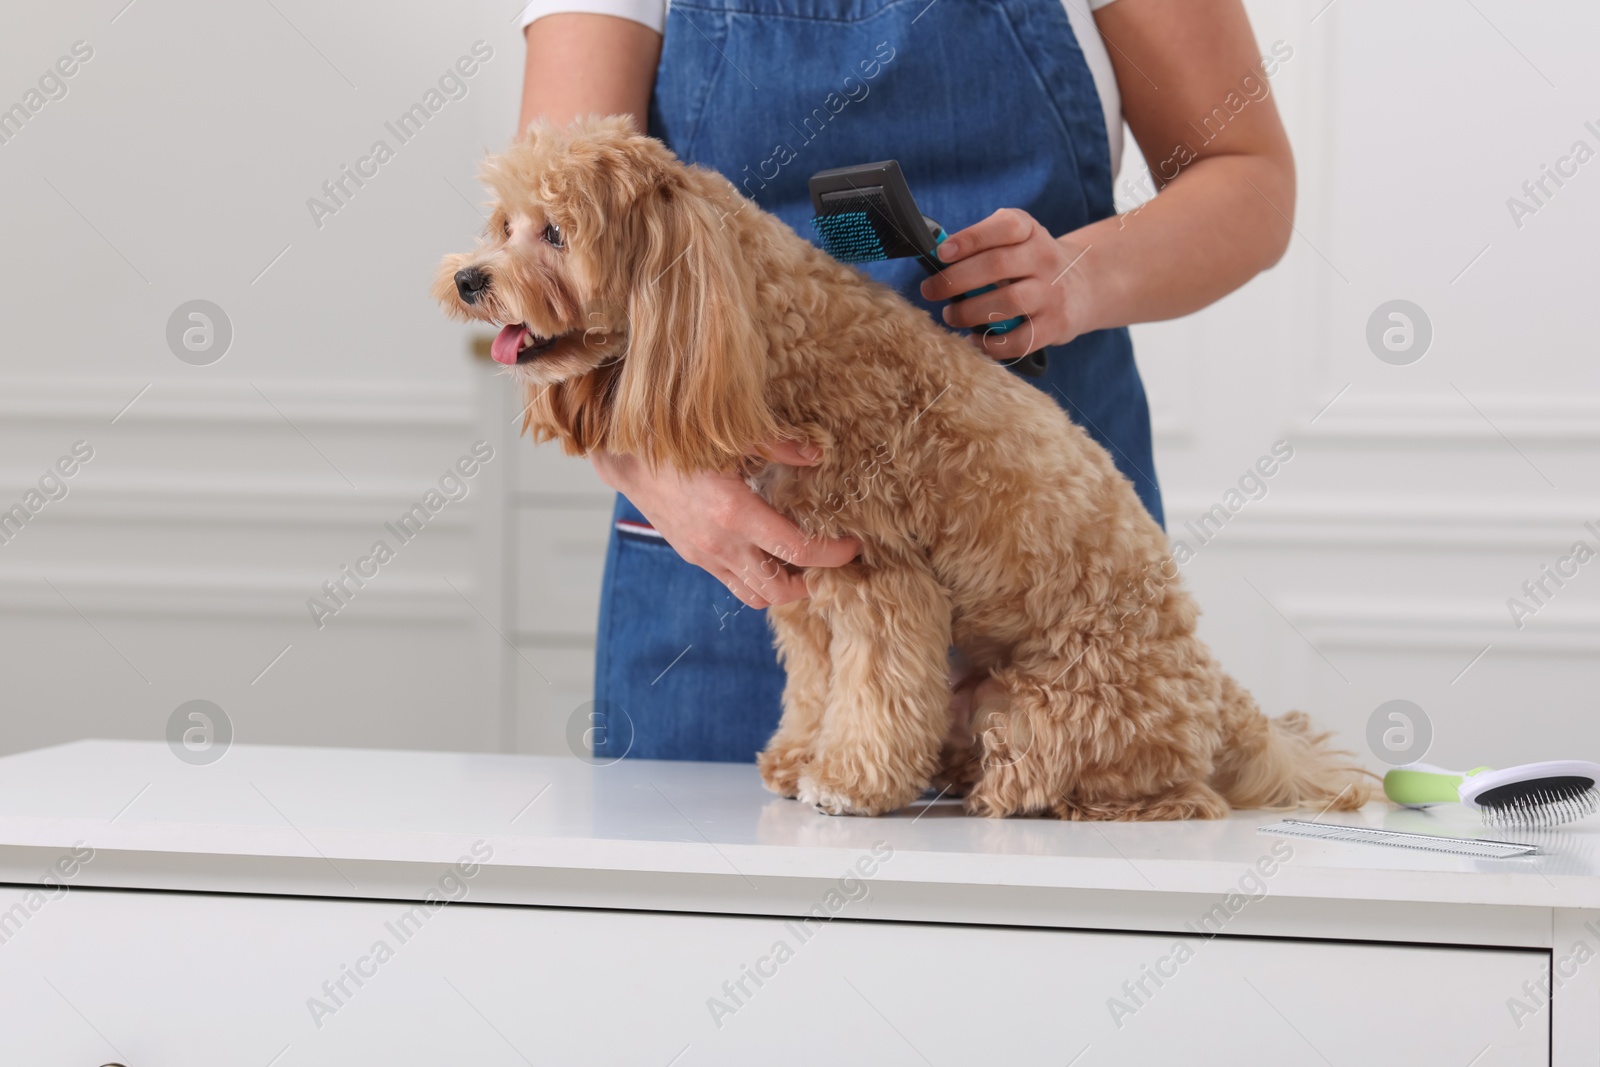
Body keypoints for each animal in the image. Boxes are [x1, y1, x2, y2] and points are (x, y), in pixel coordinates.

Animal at [438, 115, 1376, 819]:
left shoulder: (880, 577)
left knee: (1156, 788)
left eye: (555, 232)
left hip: (1065, 701)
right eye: (502, 226)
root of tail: (1218, 695)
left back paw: (1019, 790)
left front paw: (849, 782)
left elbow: (875, 689)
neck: (776, 340)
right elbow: (819, 685)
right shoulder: (805, 586)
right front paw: (798, 757)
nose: (469, 278)